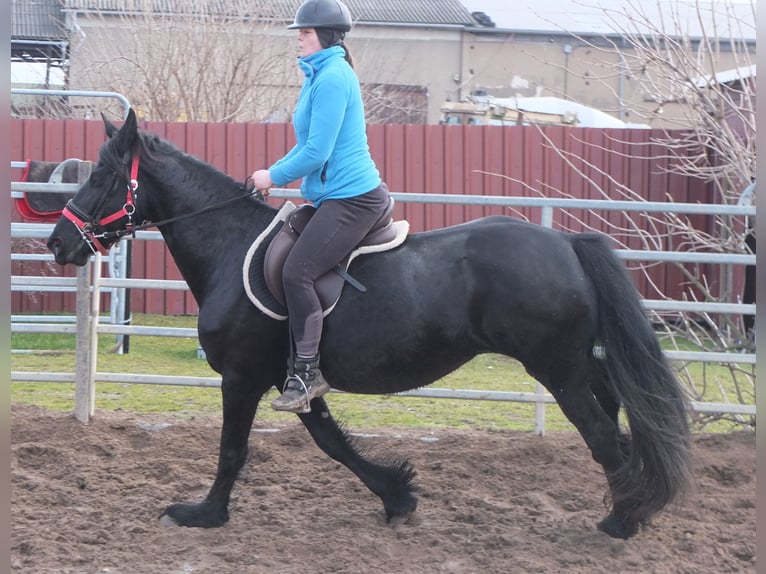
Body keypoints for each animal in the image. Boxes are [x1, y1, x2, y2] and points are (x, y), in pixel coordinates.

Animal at [49, 110, 696, 544]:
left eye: (103, 174)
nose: (58, 244)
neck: (230, 247)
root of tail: (566, 243)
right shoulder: (293, 379)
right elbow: (331, 442)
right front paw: (398, 495)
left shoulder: (241, 376)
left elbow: (233, 449)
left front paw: (203, 514)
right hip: (580, 365)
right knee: (618, 415)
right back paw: (632, 506)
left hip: (558, 371)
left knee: (602, 435)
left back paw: (621, 521)